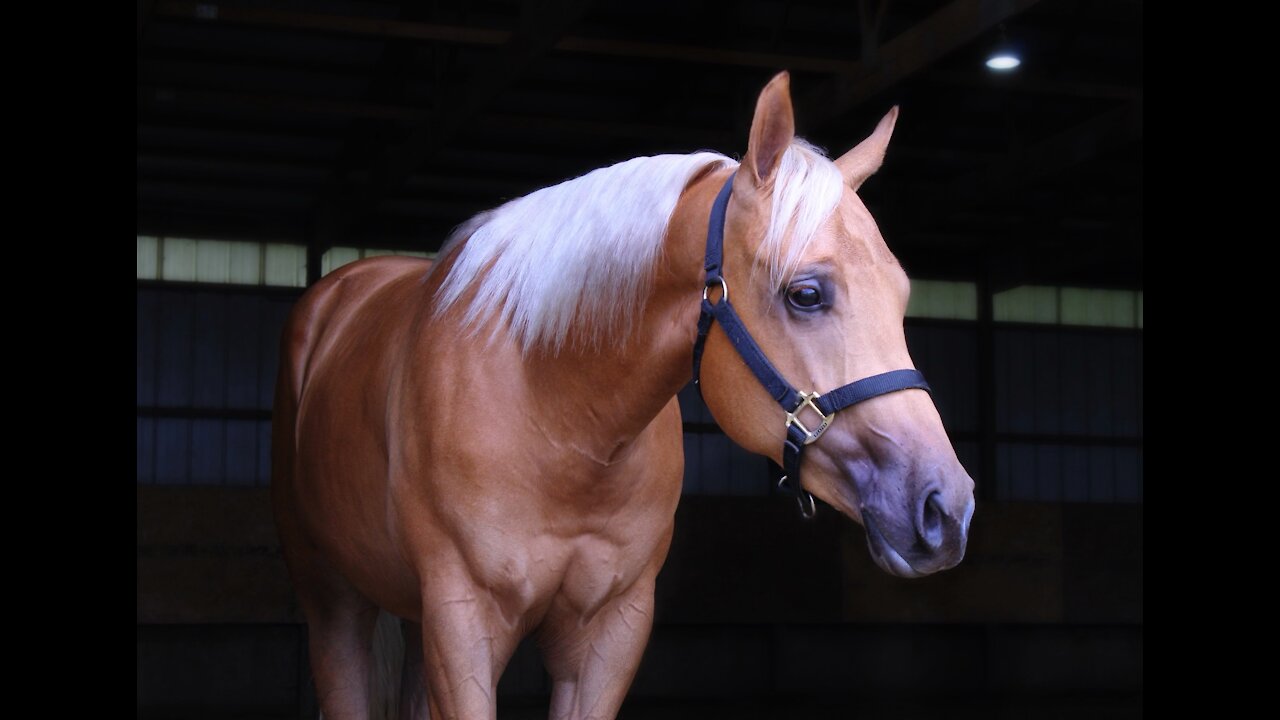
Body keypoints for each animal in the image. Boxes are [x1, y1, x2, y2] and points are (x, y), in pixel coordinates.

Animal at [270, 70, 967, 712]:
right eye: (806, 293)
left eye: (903, 295)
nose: (948, 509)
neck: (558, 416)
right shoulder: (461, 622)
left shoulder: (610, 633)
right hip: (333, 601)